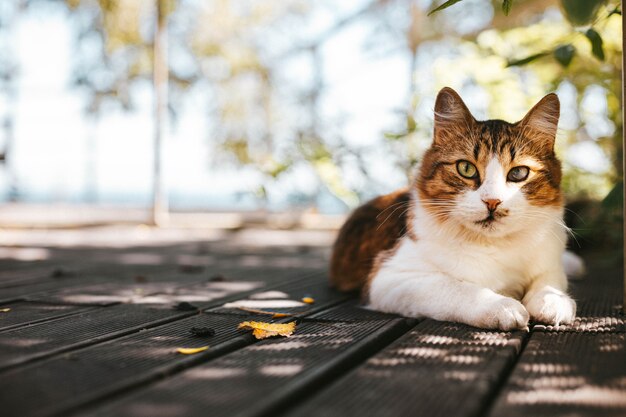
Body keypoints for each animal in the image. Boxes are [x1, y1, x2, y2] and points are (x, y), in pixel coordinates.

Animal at [330, 87, 584, 328]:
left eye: (519, 173)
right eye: (466, 169)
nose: (492, 202)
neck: (494, 245)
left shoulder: (549, 263)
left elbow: (549, 282)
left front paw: (553, 301)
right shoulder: (390, 277)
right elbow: (457, 287)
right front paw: (502, 307)